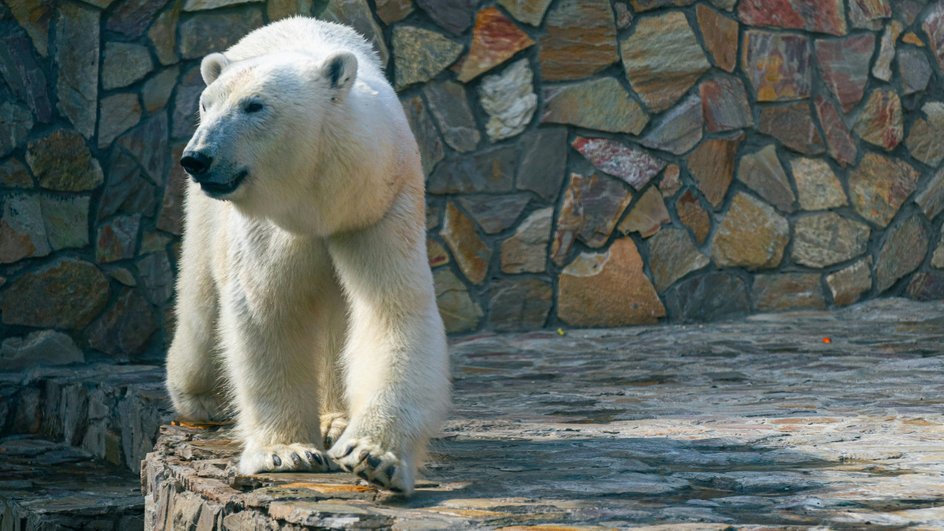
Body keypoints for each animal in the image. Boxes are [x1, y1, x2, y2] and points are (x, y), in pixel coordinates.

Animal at [164, 18, 452, 496]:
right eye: (206, 105)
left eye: (254, 105)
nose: (197, 158)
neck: (322, 197)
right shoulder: (270, 224)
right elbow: (269, 309)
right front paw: (287, 452)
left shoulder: (378, 208)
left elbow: (391, 310)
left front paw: (372, 456)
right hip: (207, 216)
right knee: (202, 304)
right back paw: (201, 397)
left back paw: (335, 419)